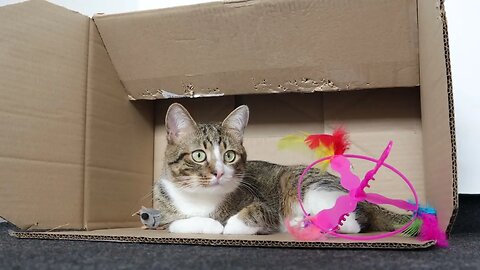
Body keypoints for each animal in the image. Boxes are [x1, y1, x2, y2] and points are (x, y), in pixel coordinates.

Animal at [152, 103, 406, 234]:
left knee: (351, 222)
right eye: (198, 155)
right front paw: (211, 224)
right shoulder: (162, 214)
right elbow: (174, 223)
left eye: (229, 155)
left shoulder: (264, 206)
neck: (201, 198)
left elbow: (256, 213)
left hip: (306, 184)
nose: (219, 172)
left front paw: (231, 224)